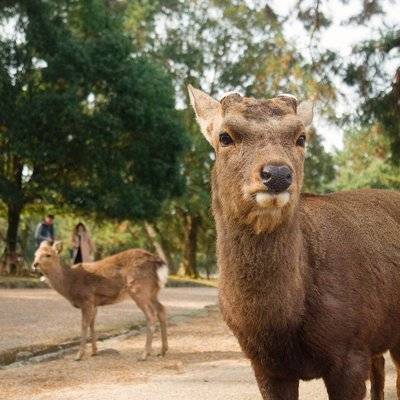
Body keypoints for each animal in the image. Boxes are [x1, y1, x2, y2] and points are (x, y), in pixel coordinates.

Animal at [32, 241, 168, 362]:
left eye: (48, 255)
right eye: (35, 254)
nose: (35, 264)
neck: (70, 284)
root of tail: (160, 264)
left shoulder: (86, 299)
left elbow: (84, 324)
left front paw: (79, 355)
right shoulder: (94, 303)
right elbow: (92, 324)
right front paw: (94, 351)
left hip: (138, 288)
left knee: (151, 314)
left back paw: (144, 355)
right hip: (152, 292)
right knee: (161, 309)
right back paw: (162, 351)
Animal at [188, 86, 400, 400]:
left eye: (301, 137)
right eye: (225, 136)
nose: (277, 174)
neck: (280, 327)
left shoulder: (351, 351)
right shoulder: (264, 366)